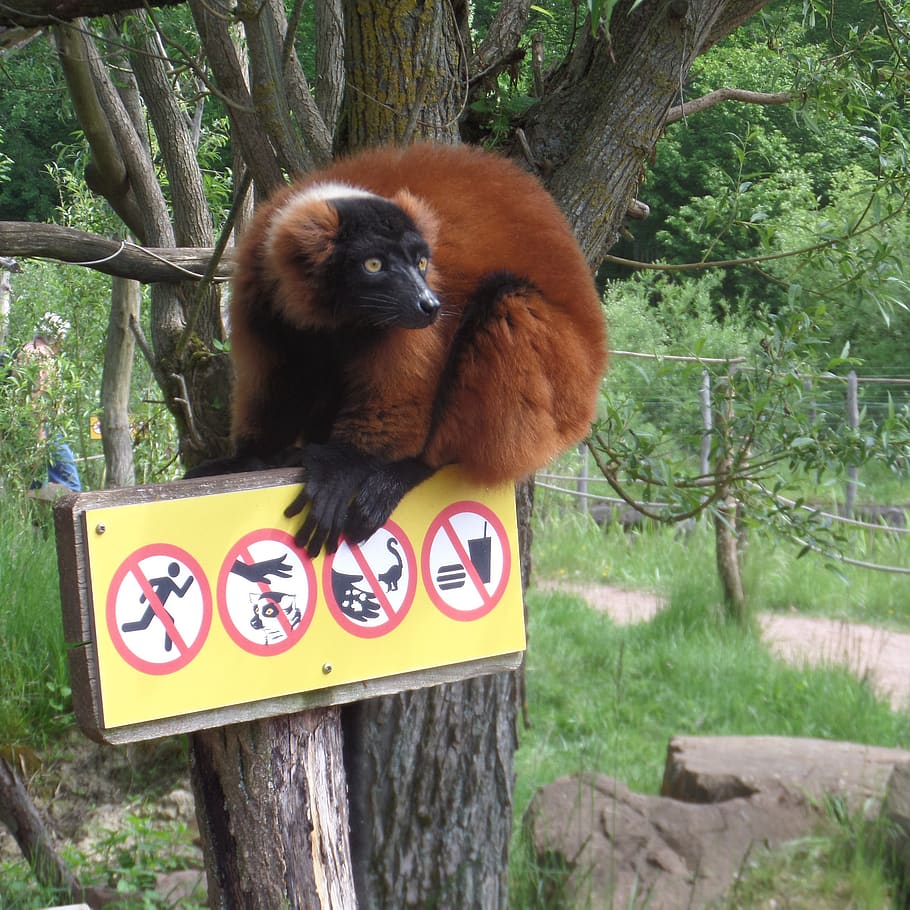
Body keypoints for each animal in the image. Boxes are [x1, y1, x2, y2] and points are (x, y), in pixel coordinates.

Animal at [190, 143, 607, 556]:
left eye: (421, 262)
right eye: (374, 265)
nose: (430, 305)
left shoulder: (401, 321)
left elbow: (397, 396)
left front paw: (342, 466)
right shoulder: (260, 295)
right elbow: (278, 381)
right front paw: (249, 459)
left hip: (562, 378)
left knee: (505, 300)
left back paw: (412, 468)